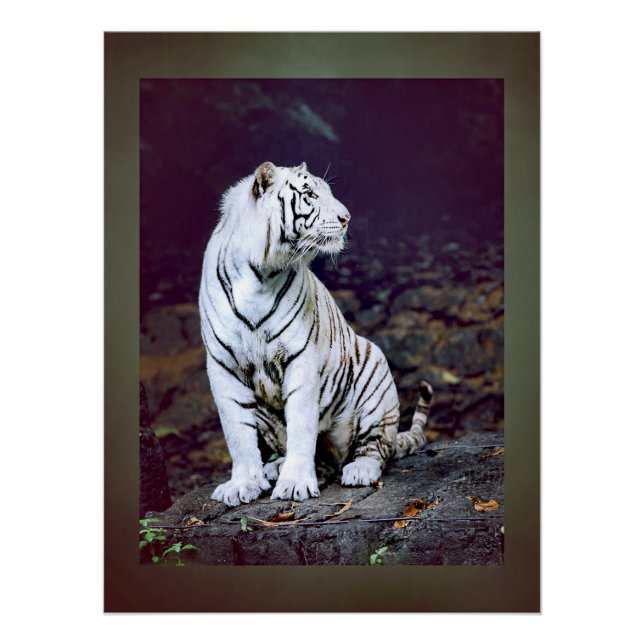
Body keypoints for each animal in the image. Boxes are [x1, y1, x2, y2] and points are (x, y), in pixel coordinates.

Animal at [199, 161, 433, 506]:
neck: (260, 275)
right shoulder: (222, 364)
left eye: (328, 191)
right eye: (310, 194)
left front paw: (295, 483)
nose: (346, 217)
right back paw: (276, 467)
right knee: (323, 459)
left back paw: (358, 470)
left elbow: (301, 425)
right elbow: (237, 431)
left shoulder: (300, 356)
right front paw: (242, 484)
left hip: (374, 374)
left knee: (375, 448)